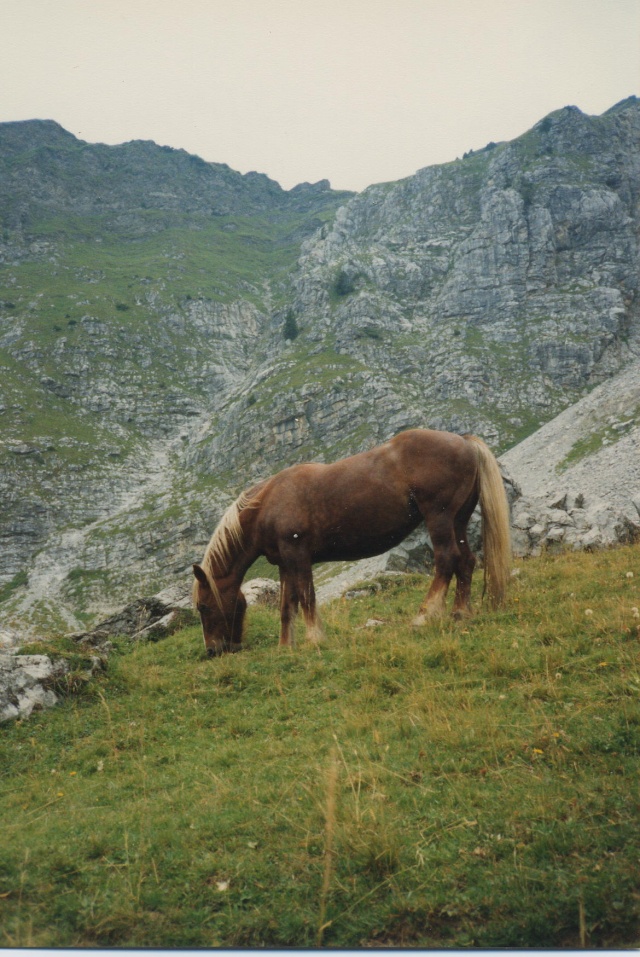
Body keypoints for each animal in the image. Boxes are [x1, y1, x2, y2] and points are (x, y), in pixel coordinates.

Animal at [192, 430, 512, 652]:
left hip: (440, 519)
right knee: (466, 561)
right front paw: (286, 646)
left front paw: (315, 638)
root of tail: (463, 441)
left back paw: (424, 616)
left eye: (203, 607)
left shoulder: (297, 555)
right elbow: (287, 604)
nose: (213, 650)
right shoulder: (284, 563)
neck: (269, 502)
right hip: (458, 521)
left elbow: (306, 596)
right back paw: (460, 612)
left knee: (447, 561)